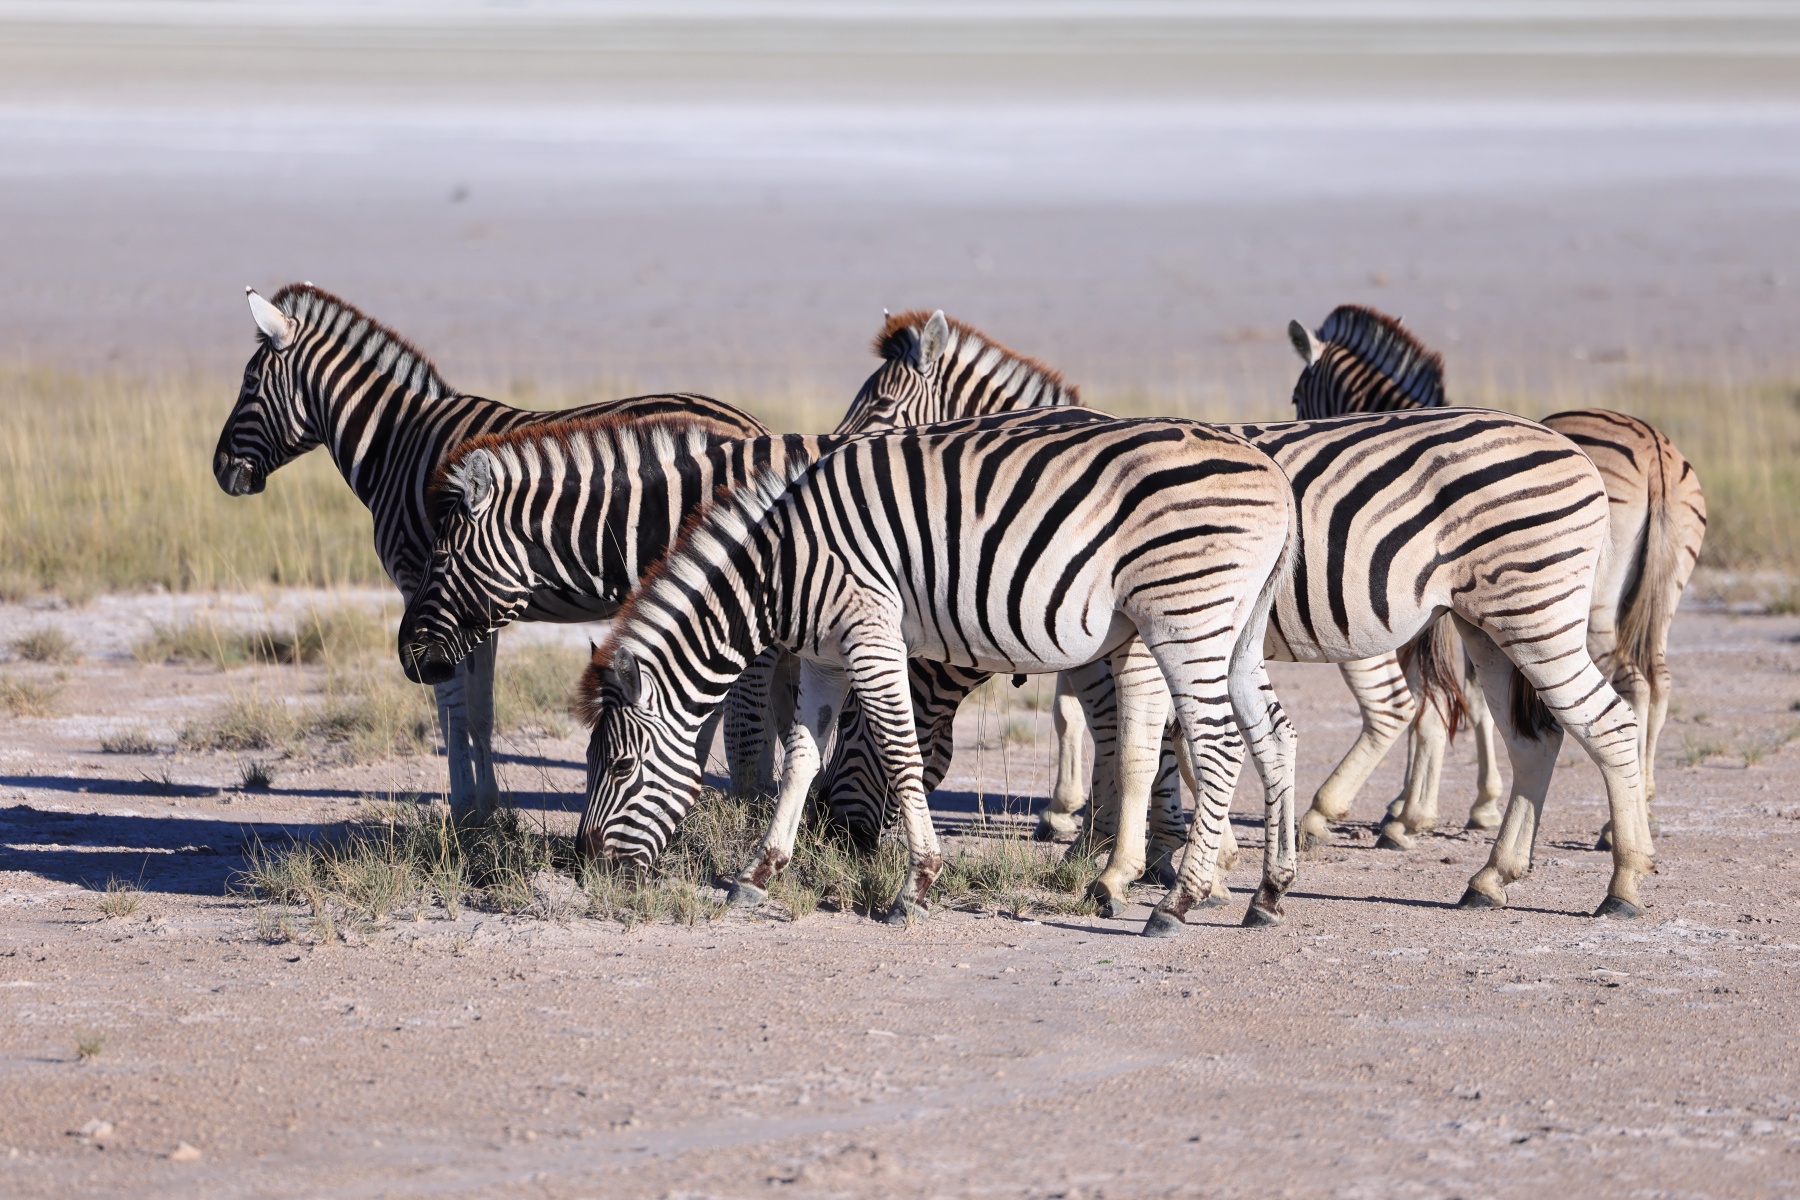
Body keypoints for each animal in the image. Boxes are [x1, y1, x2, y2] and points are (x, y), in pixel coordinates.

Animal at [215, 283, 769, 823]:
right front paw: (489, 805)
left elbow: (450, 707)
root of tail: (752, 425)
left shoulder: (423, 583)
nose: (220, 469)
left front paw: (465, 806)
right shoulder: (472, 603)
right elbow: (479, 709)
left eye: (249, 383)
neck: (396, 445)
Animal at [406, 407, 1301, 933]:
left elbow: (893, 753)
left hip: (1182, 613)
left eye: (619, 767)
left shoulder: (868, 634)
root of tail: (1268, 467)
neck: (775, 565)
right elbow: (803, 756)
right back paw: (1264, 891)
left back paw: (1177, 897)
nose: (589, 869)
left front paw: (915, 884)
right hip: (1233, 624)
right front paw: (759, 871)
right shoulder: (823, 653)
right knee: (1271, 733)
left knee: (1216, 740)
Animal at [824, 310, 1657, 918]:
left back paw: (1622, 882)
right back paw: (1489, 877)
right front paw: (1181, 855)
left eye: (883, 406)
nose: (833, 839)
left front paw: (1140, 855)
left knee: (1604, 720)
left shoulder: (1120, 639)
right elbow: (1157, 740)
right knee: (1534, 736)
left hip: (1537, 613)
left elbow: (1132, 742)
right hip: (1489, 624)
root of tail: (1570, 445)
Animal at [1285, 306, 1706, 852]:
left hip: (1579, 606)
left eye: (1298, 398)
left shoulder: (1433, 619)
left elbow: (1431, 703)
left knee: (1630, 684)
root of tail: (1653, 446)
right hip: (1657, 595)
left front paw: (1410, 813)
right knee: (1658, 680)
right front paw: (1471, 803)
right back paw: (1639, 809)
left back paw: (1617, 828)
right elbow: (1471, 702)